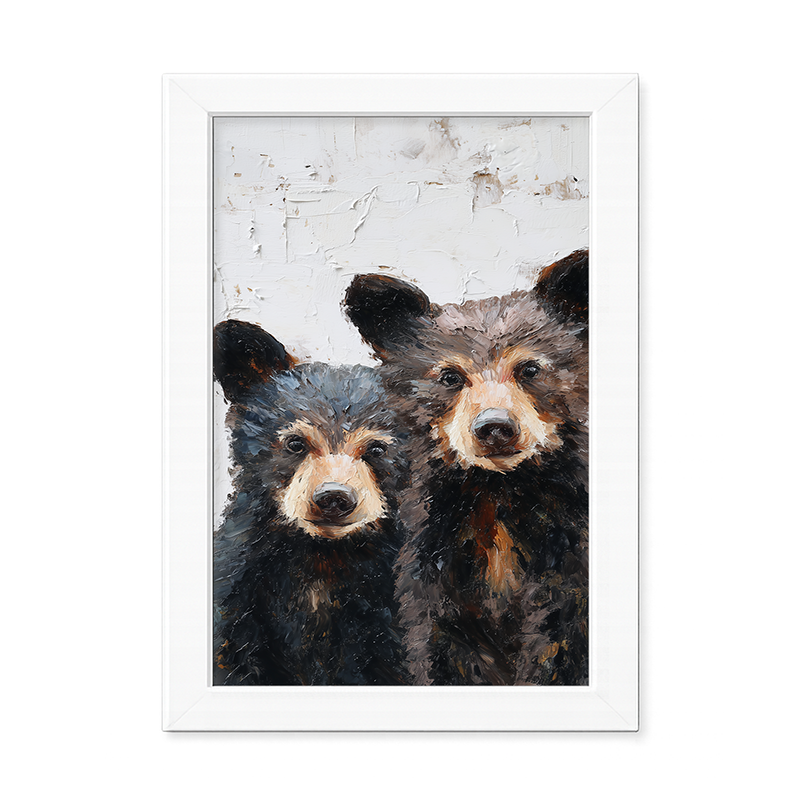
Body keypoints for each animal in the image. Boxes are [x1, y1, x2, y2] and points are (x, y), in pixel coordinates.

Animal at [343, 250, 589, 686]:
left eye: (529, 368)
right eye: (450, 376)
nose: (494, 427)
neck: (497, 492)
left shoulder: (568, 551)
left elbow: (559, 641)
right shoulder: (436, 566)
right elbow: (442, 648)